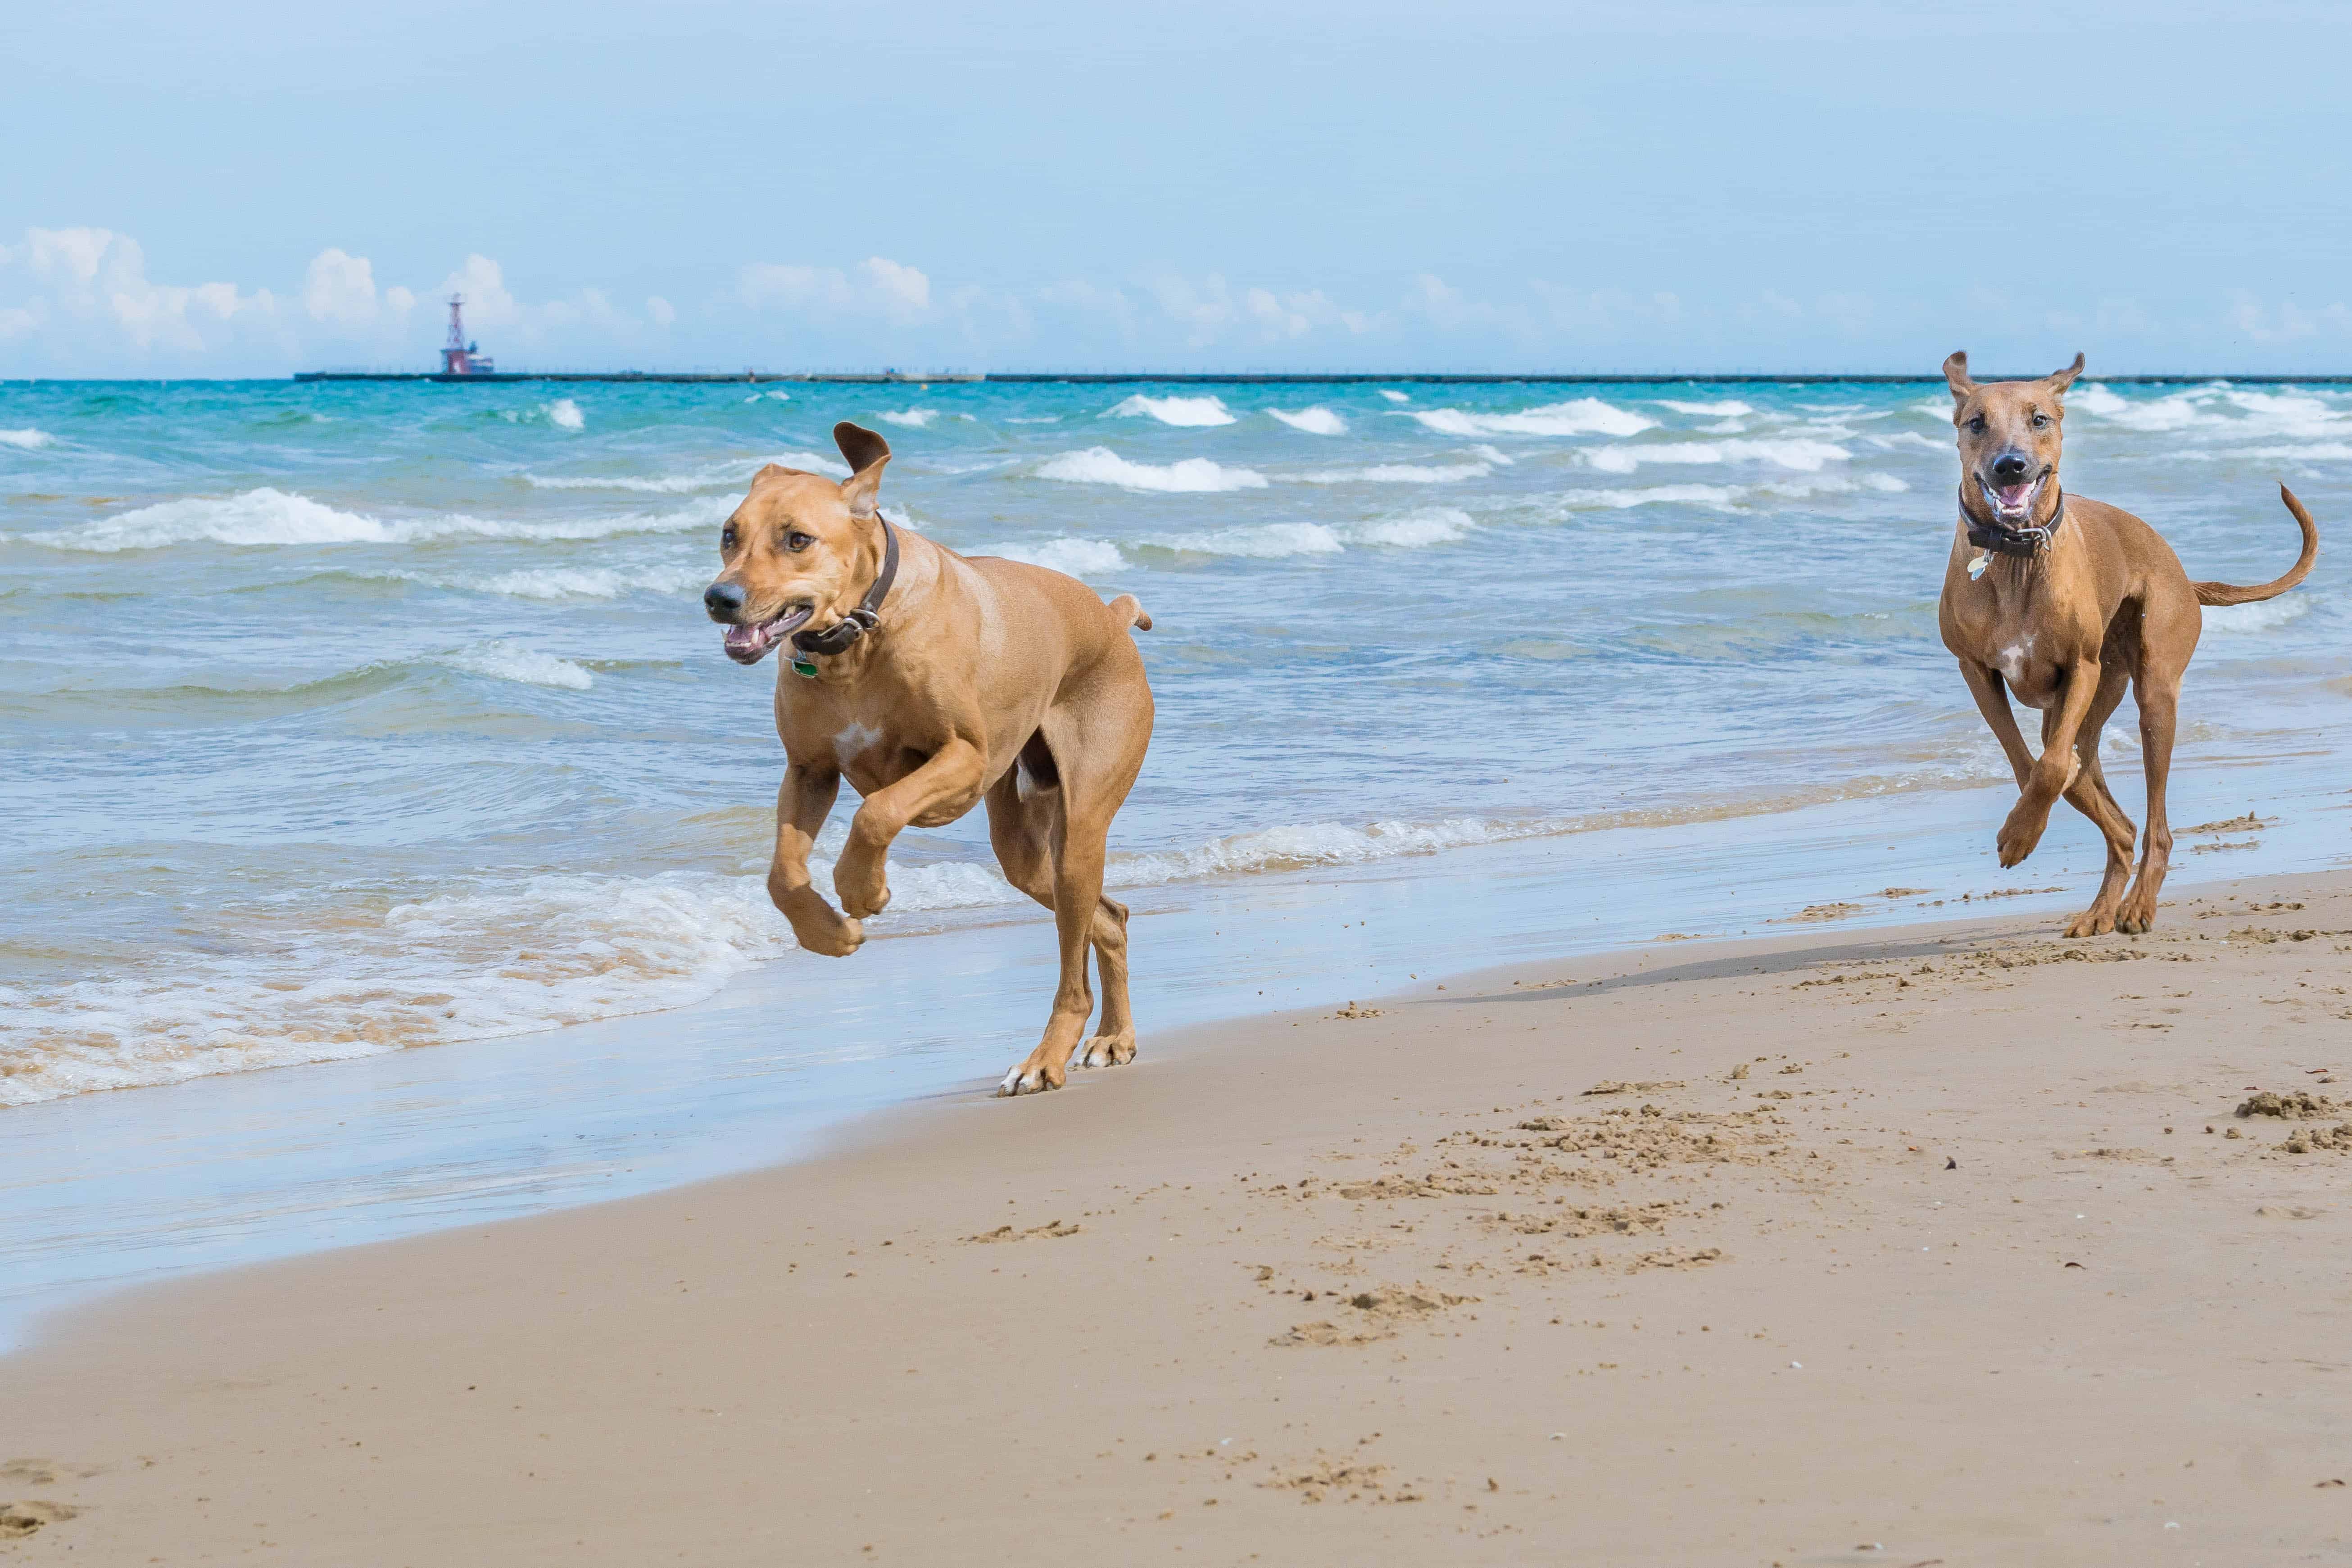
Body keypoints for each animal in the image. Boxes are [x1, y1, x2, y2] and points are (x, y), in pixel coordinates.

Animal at [701, 423, 1152, 1100]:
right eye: (730, 533)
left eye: (797, 539)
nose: (719, 596)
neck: (857, 638)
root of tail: (1110, 618)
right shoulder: (808, 770)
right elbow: (781, 875)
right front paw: (829, 932)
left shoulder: (962, 760)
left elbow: (878, 811)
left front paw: (861, 888)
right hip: (1024, 851)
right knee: (1109, 914)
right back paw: (1114, 1038)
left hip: (1081, 824)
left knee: (1073, 969)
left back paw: (1044, 1060)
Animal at [1938, 355, 2324, 940]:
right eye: (1976, 422)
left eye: (2039, 418)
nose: (2011, 467)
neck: (2015, 557)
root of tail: (2186, 578)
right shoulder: (1977, 671)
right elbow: (2033, 764)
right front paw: (2027, 825)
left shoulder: (2082, 666)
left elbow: (2050, 768)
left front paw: (2020, 835)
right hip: (2093, 702)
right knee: (2097, 791)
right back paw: (2102, 904)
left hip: (2154, 695)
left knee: (2154, 824)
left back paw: (2137, 903)